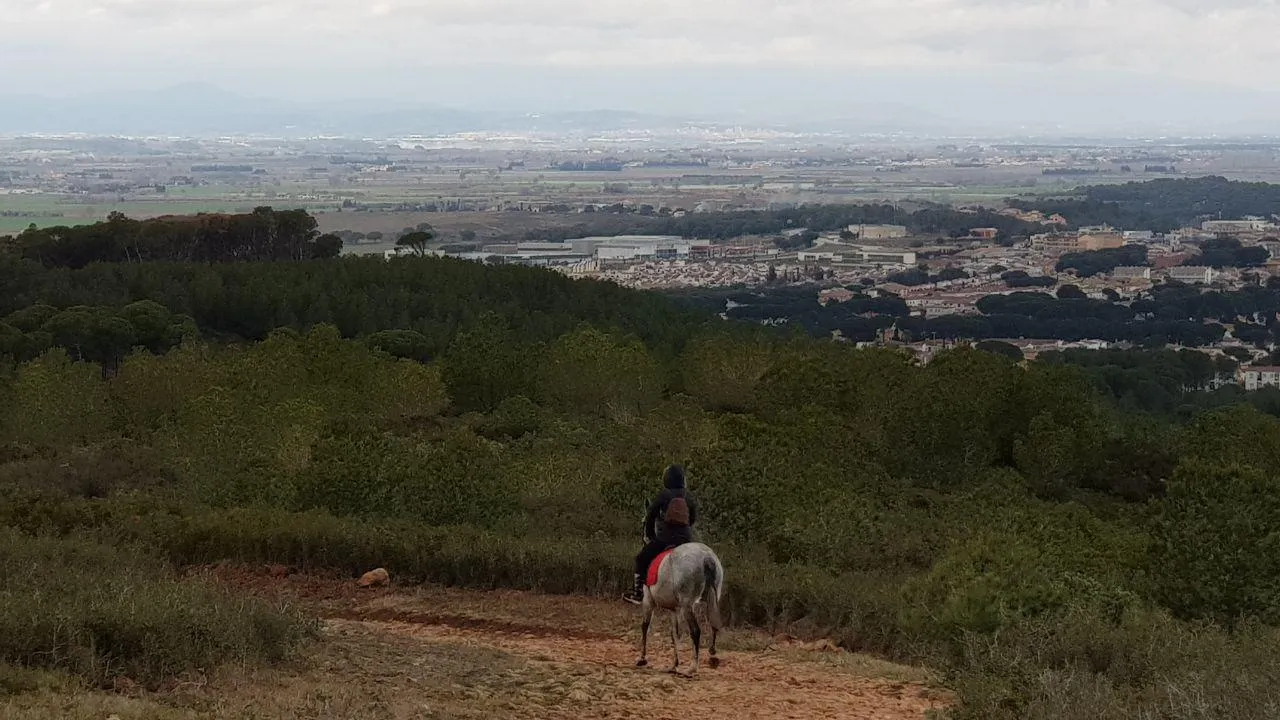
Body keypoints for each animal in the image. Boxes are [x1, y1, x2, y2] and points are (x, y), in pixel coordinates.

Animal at [634, 540, 727, 676]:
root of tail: (706, 557)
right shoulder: (674, 609)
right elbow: (675, 634)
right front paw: (674, 665)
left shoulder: (648, 601)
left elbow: (645, 627)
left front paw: (642, 658)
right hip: (711, 600)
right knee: (713, 626)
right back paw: (712, 656)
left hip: (687, 606)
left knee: (696, 631)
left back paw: (692, 668)